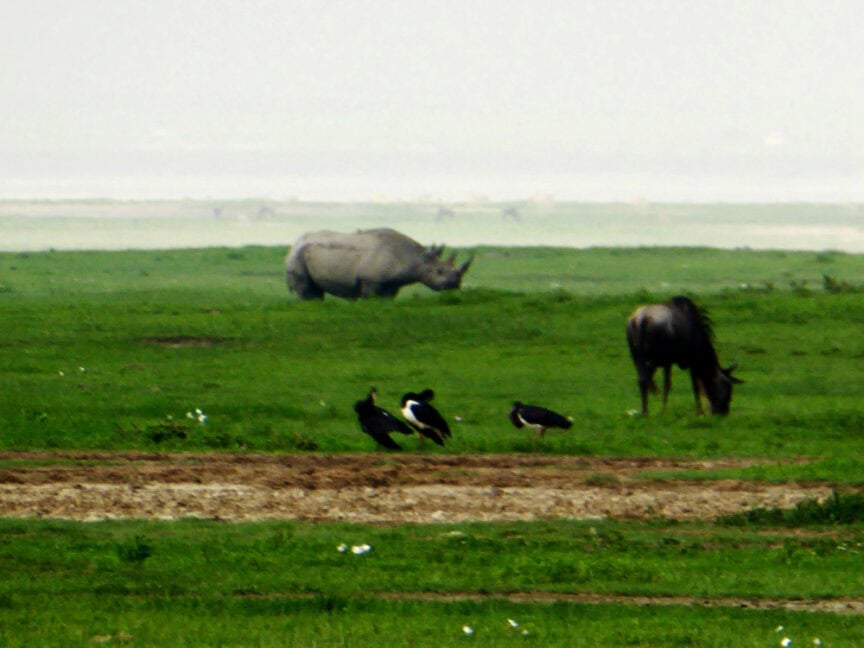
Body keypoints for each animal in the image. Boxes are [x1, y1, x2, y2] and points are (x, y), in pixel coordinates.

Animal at [285, 228, 473, 300]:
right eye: (438, 272)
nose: (455, 284)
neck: (415, 258)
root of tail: (294, 243)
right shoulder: (370, 280)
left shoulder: (391, 284)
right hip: (297, 257)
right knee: (306, 288)